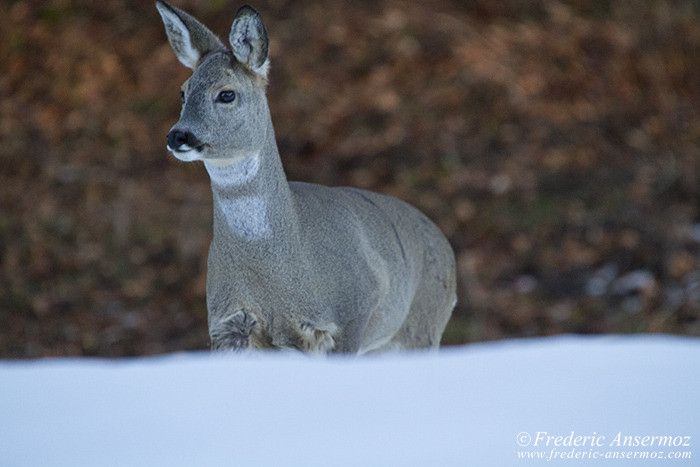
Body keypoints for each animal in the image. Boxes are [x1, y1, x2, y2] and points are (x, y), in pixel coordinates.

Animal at [156, 0, 456, 354]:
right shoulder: (228, 325)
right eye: (183, 93)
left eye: (226, 94)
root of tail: (447, 249)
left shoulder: (353, 310)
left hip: (421, 325)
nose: (178, 136)